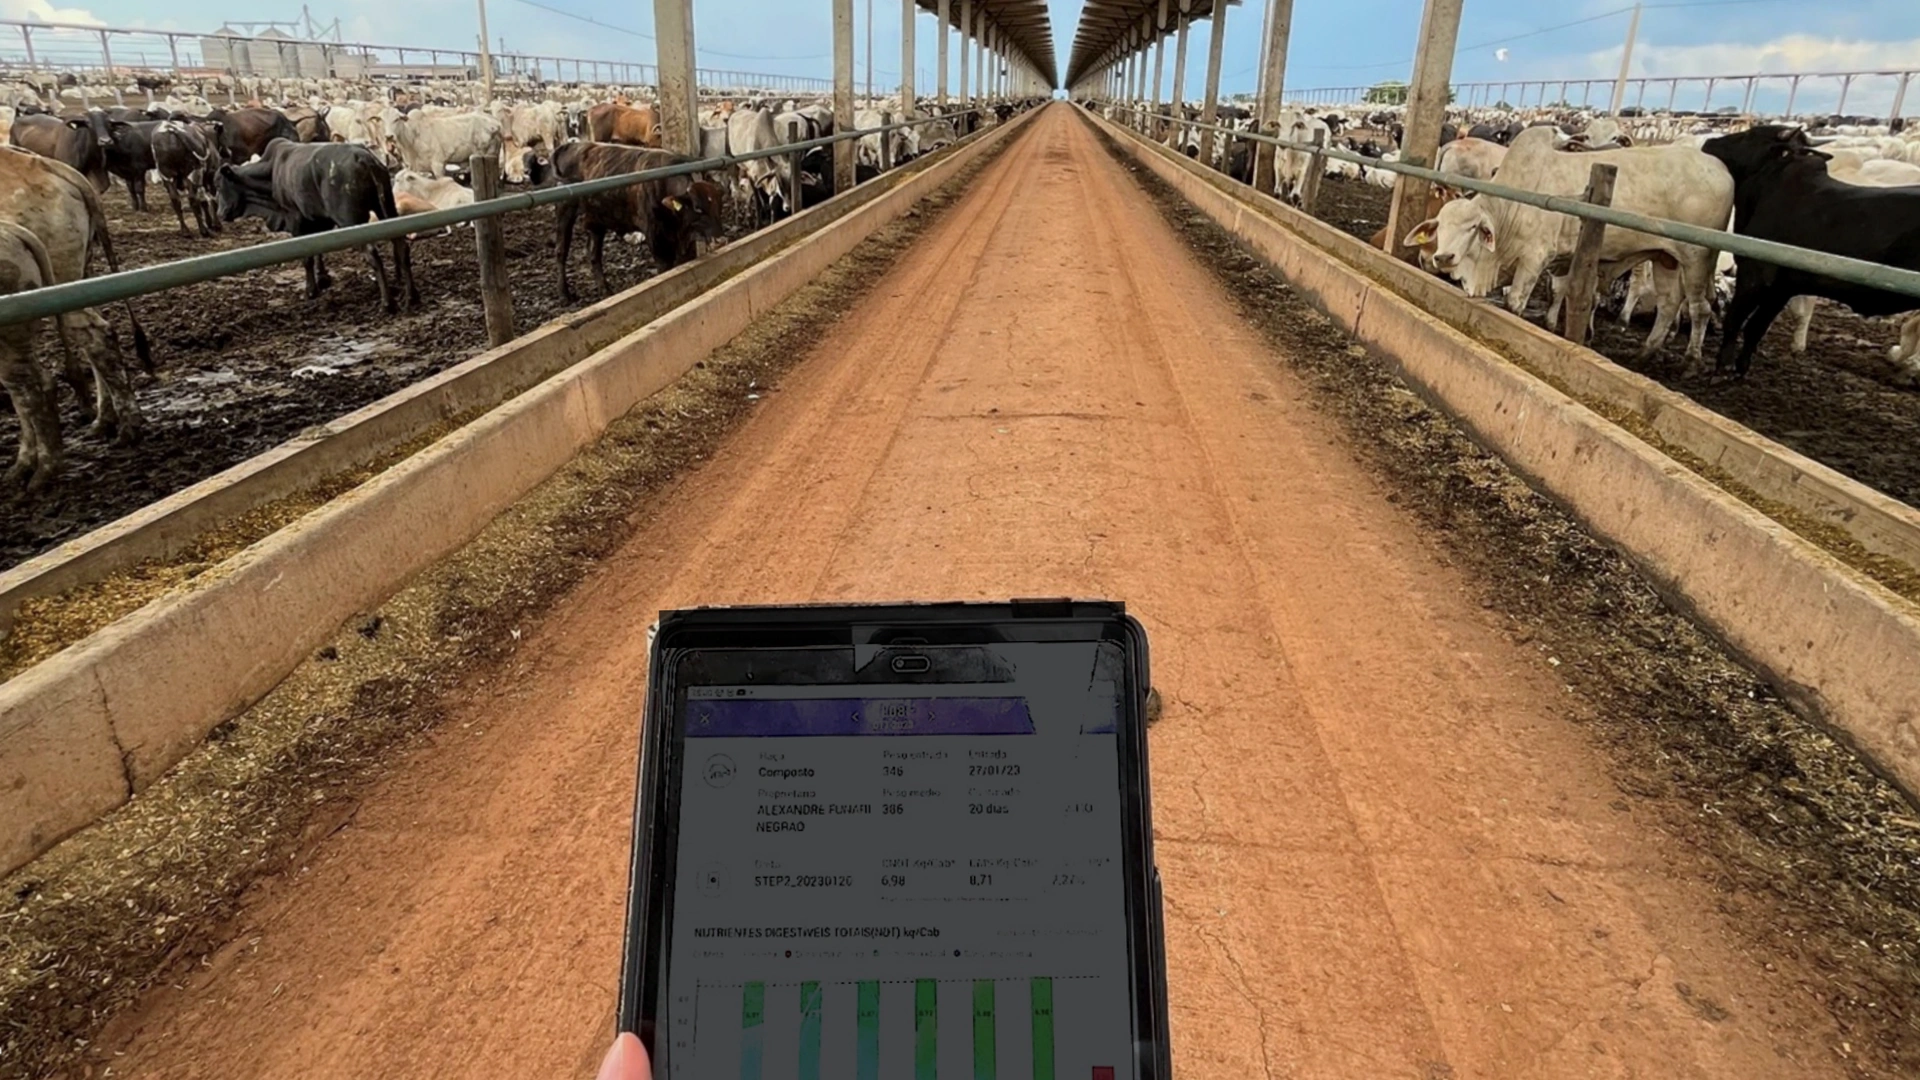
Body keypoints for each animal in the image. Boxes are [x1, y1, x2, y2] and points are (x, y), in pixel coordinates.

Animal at [217, 136, 420, 309]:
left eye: (219, 185)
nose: (220, 213)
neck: (271, 172)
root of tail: (363, 158)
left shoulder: (296, 219)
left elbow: (307, 257)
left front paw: (311, 291)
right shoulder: (319, 218)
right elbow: (318, 247)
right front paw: (323, 278)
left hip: (351, 220)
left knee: (372, 253)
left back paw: (387, 303)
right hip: (386, 208)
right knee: (401, 245)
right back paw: (410, 296)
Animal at [560, 139, 729, 297]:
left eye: (719, 207)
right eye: (697, 208)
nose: (721, 240)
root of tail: (570, 146)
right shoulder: (656, 239)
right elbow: (665, 268)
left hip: (596, 220)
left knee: (593, 253)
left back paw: (605, 290)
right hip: (564, 211)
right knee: (561, 251)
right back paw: (565, 295)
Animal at [1704, 124, 1912, 374]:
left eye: (1750, 135)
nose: (1709, 142)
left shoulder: (1755, 276)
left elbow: (1735, 321)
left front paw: (1723, 367)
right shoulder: (1782, 287)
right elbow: (1756, 328)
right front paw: (1741, 368)